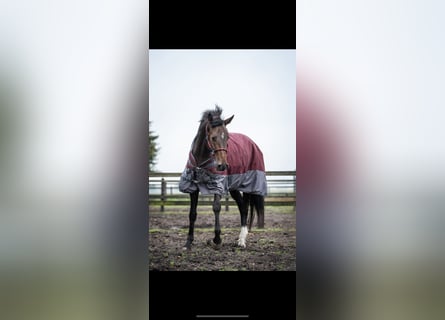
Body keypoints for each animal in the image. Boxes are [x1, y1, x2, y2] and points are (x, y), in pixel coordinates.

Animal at [178, 105, 268, 250]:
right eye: (213, 137)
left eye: (227, 138)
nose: (223, 166)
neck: (201, 162)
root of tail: (252, 143)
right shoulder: (193, 186)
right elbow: (192, 214)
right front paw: (188, 242)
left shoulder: (218, 184)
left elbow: (216, 208)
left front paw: (217, 239)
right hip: (234, 188)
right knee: (242, 207)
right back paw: (240, 239)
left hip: (248, 185)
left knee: (245, 208)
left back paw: (242, 240)